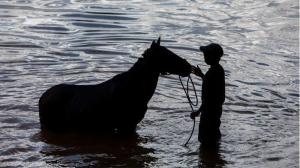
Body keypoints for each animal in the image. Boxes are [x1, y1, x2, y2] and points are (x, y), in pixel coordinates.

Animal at [38, 37, 191, 134]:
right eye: (168, 55)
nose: (189, 67)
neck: (139, 91)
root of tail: (41, 98)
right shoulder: (126, 125)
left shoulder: (131, 125)